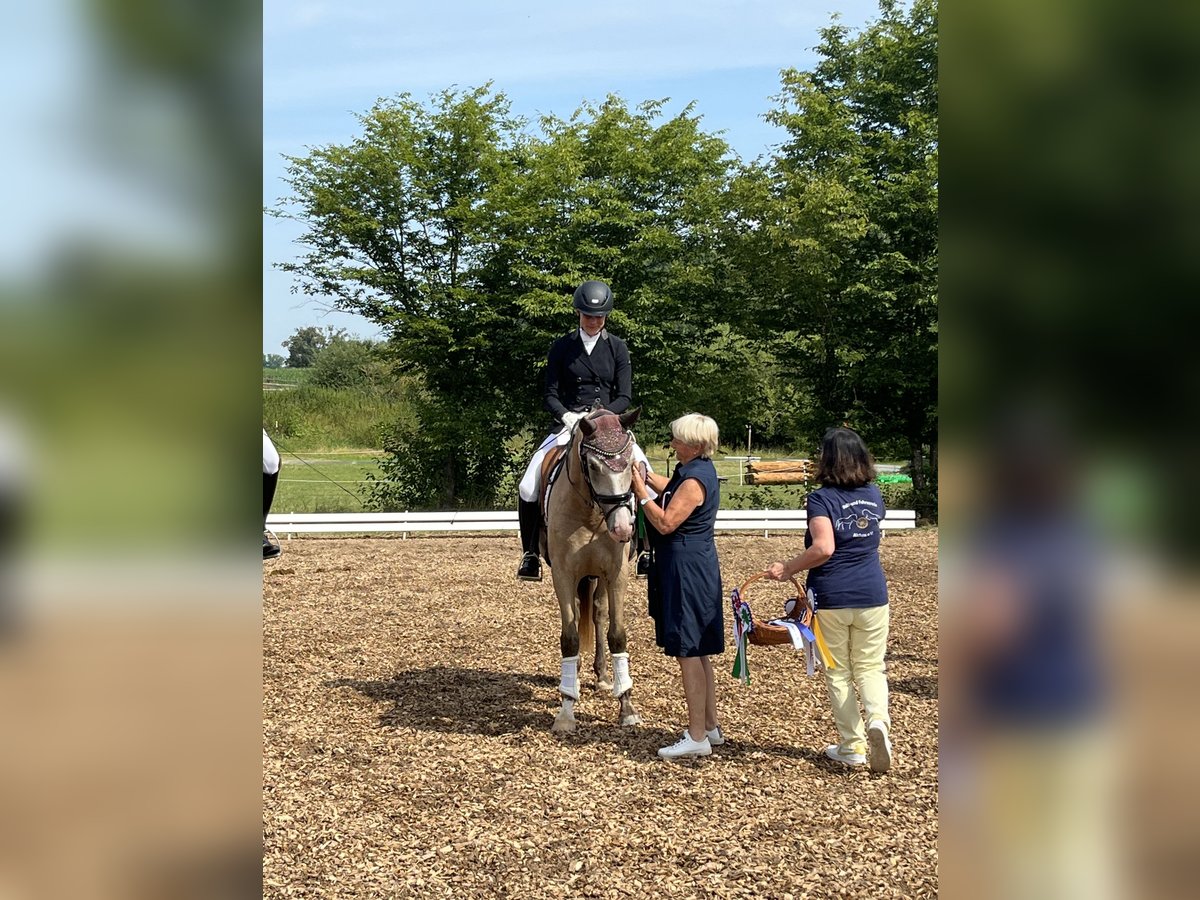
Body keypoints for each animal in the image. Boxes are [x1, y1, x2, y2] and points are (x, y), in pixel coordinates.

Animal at [540, 408, 643, 734]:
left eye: (631, 464)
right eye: (594, 466)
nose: (622, 528)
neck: (591, 511)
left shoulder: (616, 573)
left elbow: (617, 635)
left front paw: (627, 708)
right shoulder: (563, 574)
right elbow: (570, 638)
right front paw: (566, 710)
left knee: (598, 612)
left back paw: (602, 677)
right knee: (577, 611)